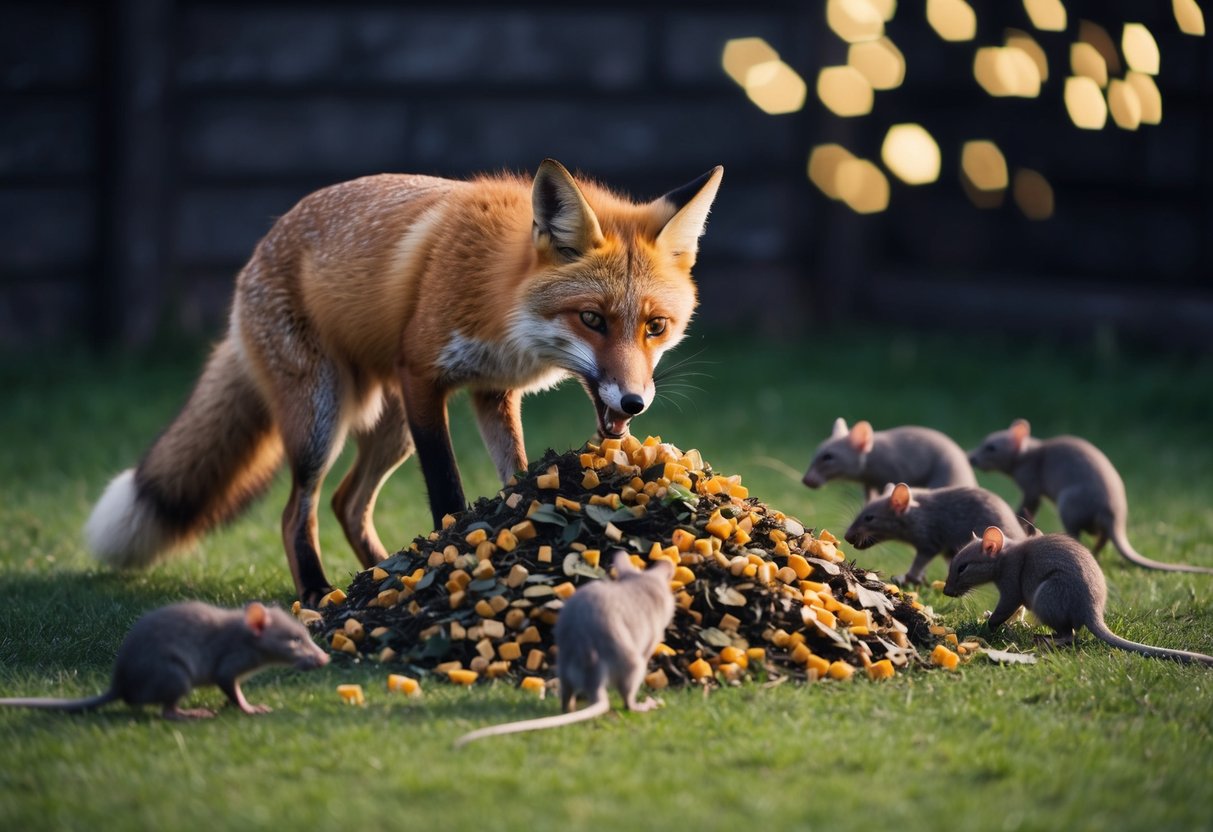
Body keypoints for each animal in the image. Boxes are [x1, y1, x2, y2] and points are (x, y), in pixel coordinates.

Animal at [85, 159, 723, 604]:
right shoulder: (422, 378)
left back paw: (379, 570)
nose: (634, 402)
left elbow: (515, 475)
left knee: (346, 502)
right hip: (323, 421)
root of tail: (260, 250)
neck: (500, 298)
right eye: (592, 319)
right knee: (298, 510)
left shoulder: (492, 392)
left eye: (655, 327)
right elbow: (447, 491)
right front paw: (455, 555)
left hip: (390, 432)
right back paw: (317, 590)